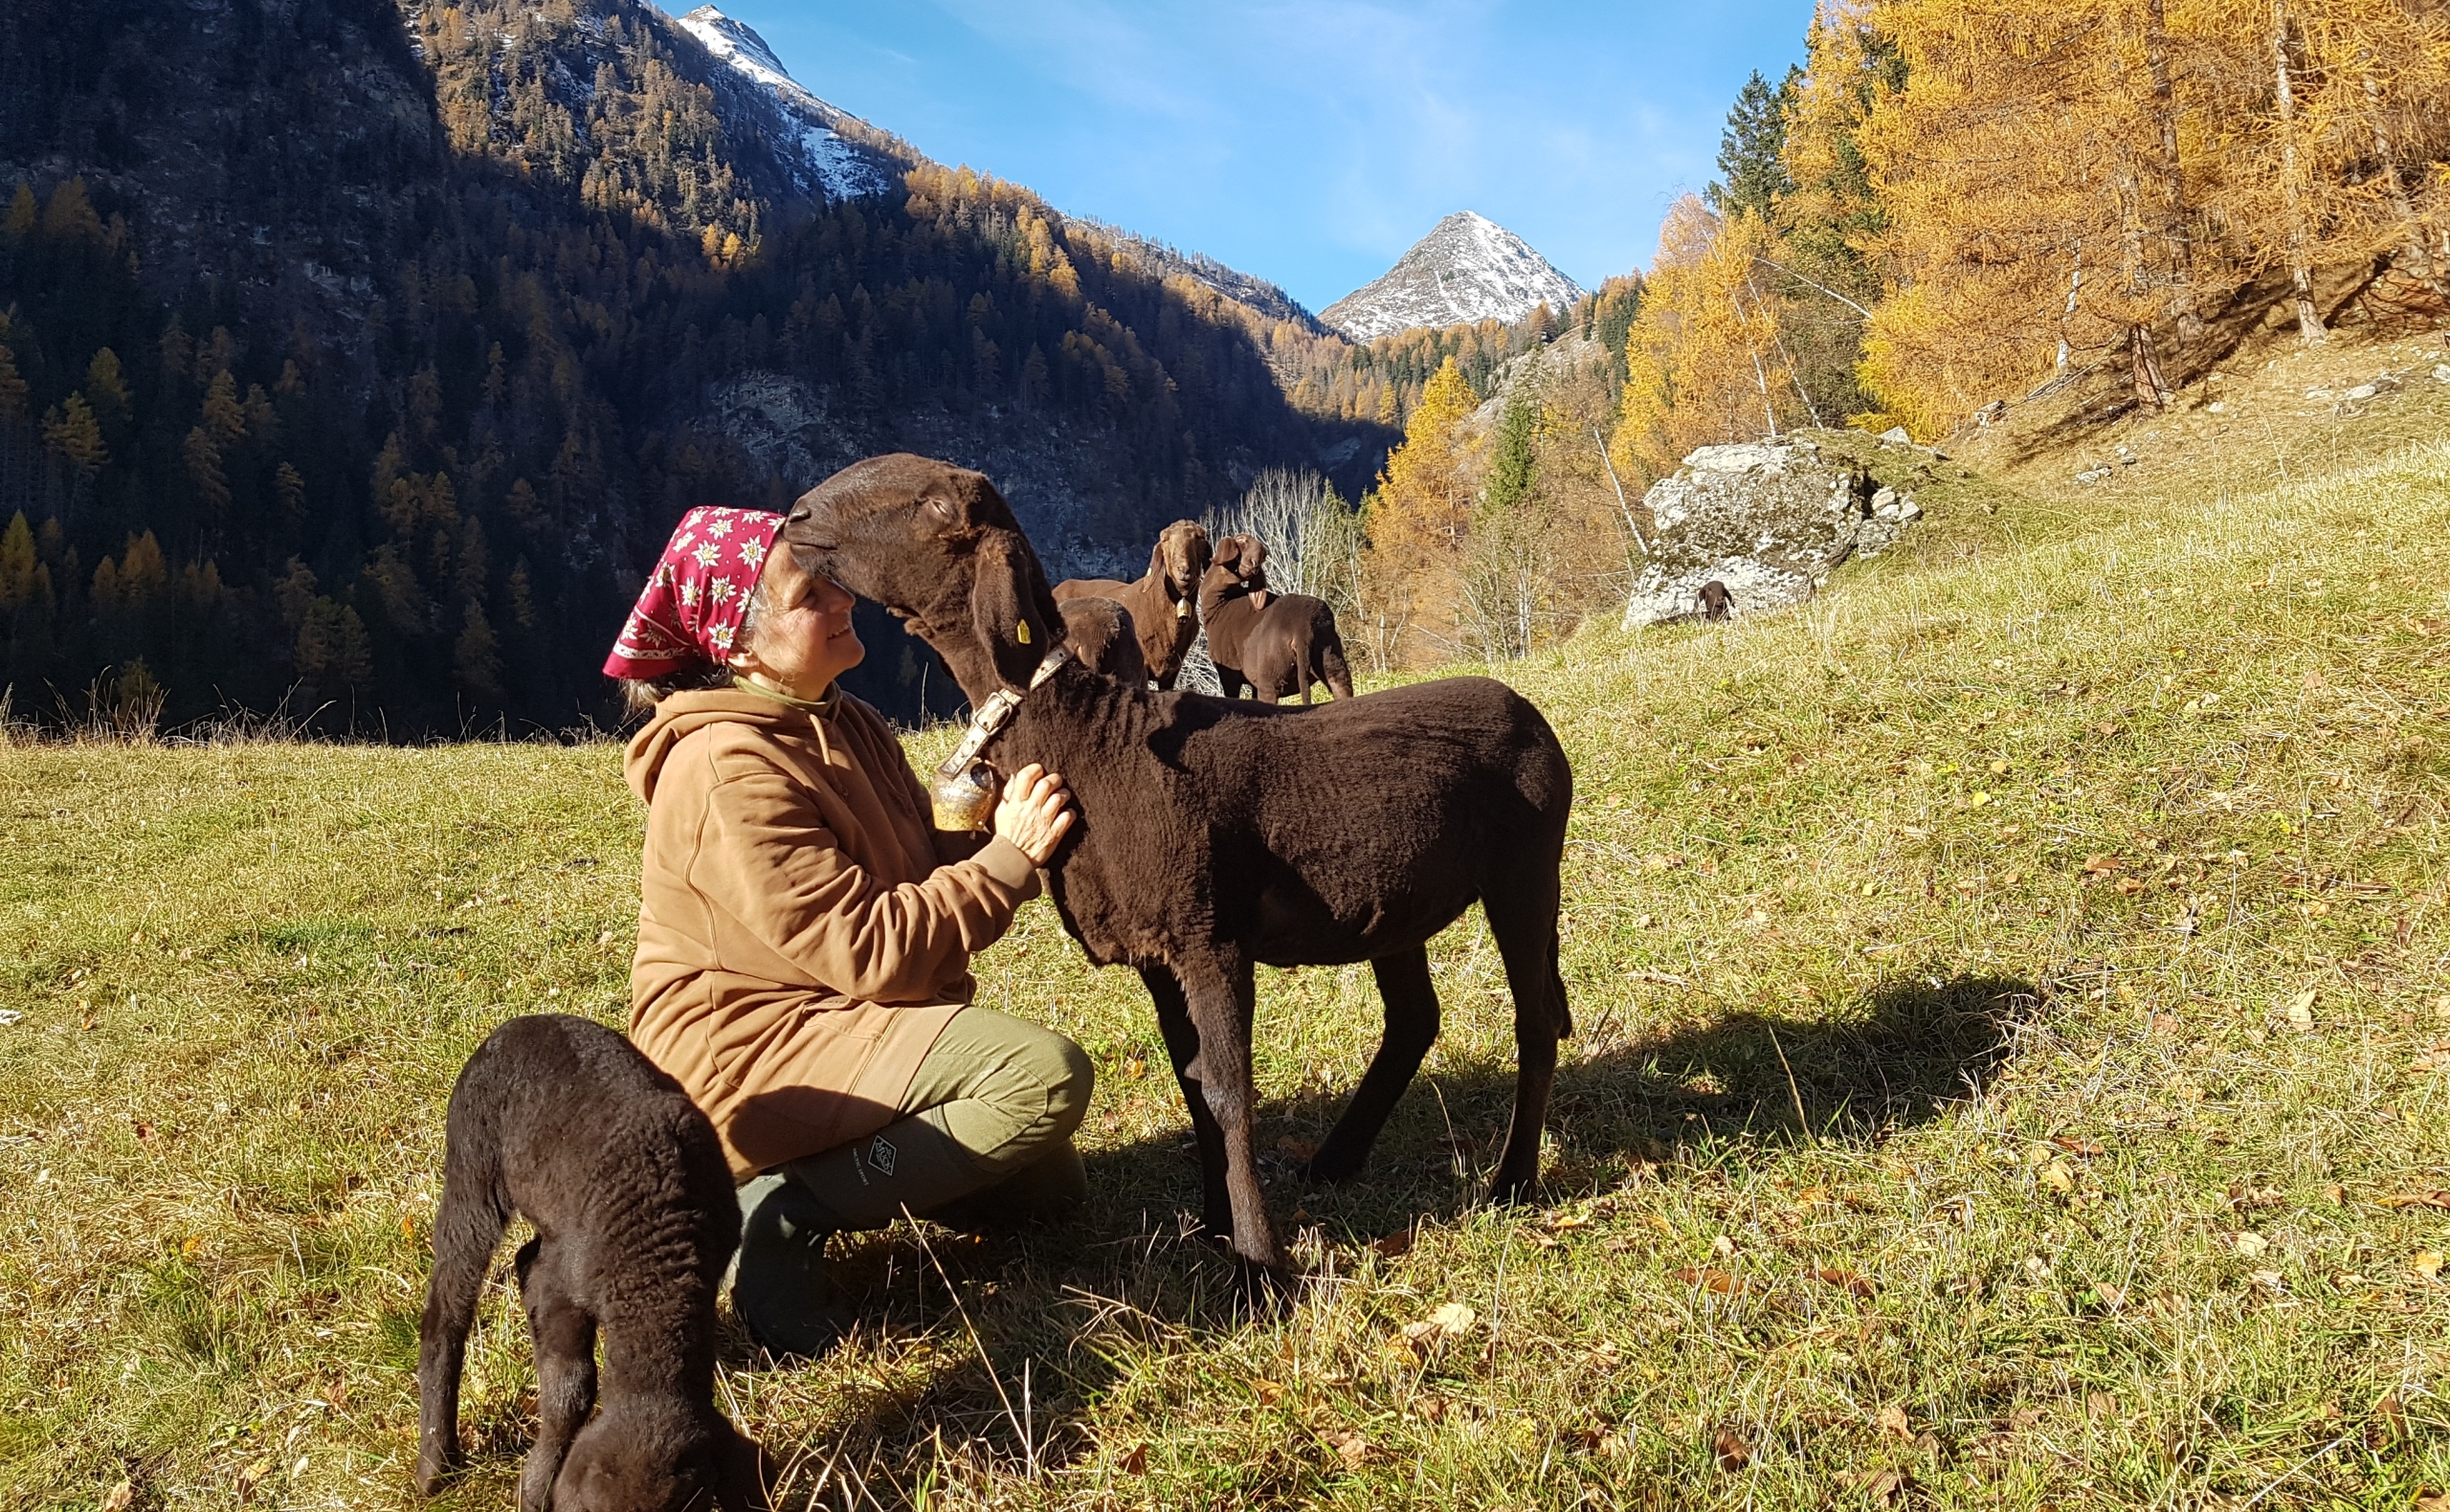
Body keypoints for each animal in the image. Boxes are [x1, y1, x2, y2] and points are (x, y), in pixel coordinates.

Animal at [416, 1014, 766, 1512]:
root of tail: (524, 1022)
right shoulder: (565, 1288)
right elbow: (572, 1389)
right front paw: (536, 1487)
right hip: (473, 1161)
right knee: (449, 1303)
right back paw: (436, 1464)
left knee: (526, 1259)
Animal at [1198, 533, 1355, 704]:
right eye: (1241, 540)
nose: (1254, 564)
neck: (1221, 602)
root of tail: (1303, 627)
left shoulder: (1228, 673)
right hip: (1331, 659)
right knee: (1341, 685)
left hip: (1271, 675)